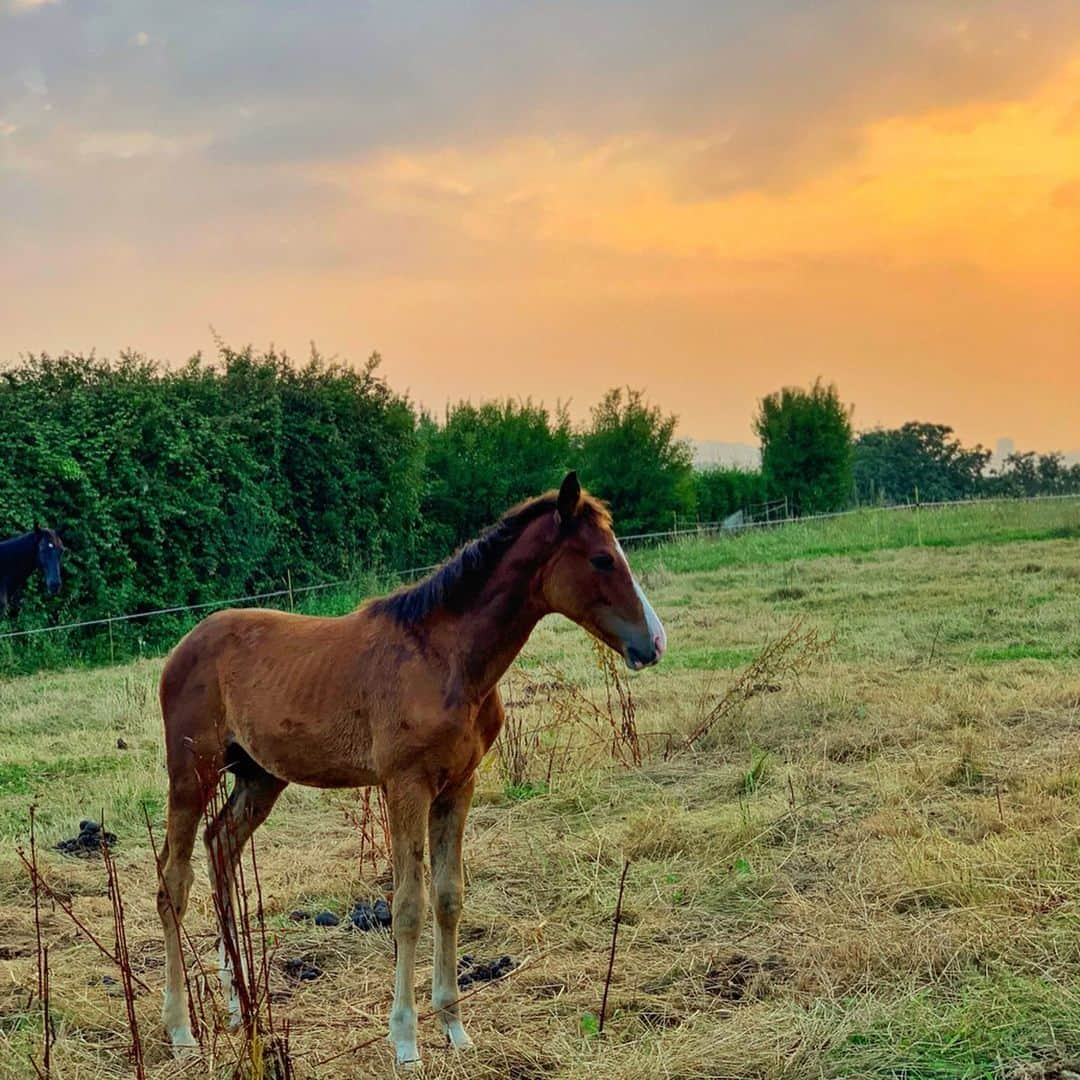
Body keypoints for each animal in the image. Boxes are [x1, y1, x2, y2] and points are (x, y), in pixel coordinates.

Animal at [157, 470, 665, 1062]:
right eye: (602, 559)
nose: (654, 643)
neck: (446, 659)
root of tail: (183, 647)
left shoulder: (458, 786)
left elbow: (448, 897)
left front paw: (454, 1027)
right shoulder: (405, 786)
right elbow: (407, 906)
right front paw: (404, 1038)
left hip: (260, 777)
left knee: (221, 849)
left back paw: (241, 1008)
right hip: (192, 770)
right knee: (174, 878)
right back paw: (182, 1031)